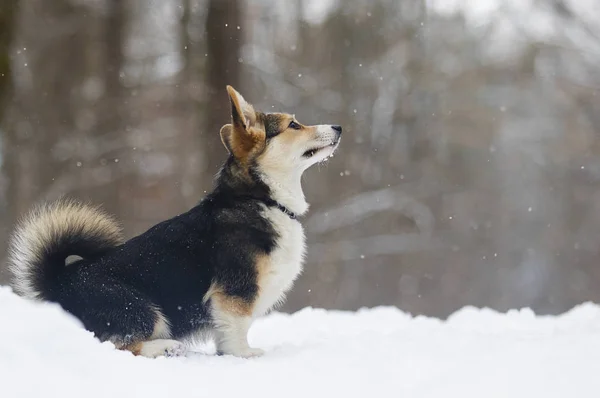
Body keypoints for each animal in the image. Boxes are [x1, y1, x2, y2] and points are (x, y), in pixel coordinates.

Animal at [7, 85, 342, 360]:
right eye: (293, 125)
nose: (338, 126)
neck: (260, 197)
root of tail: (58, 283)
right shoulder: (235, 293)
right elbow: (237, 330)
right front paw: (244, 355)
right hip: (139, 308)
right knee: (118, 344)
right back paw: (165, 347)